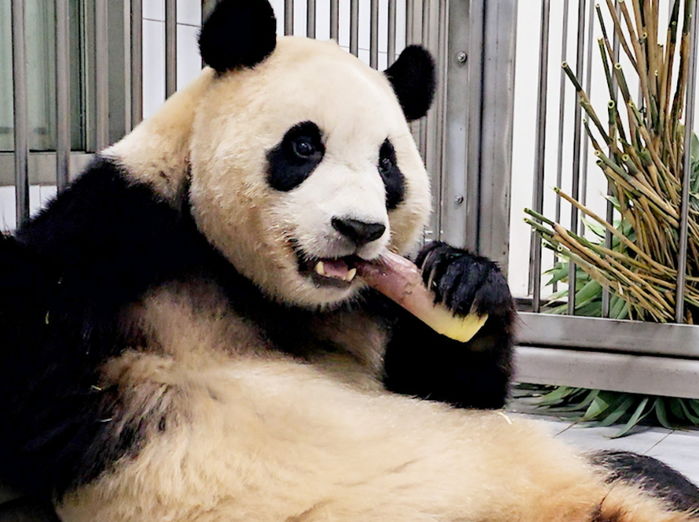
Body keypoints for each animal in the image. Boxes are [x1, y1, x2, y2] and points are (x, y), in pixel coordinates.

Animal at [0, 1, 696, 520]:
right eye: (304, 145)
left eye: (387, 163)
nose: (361, 229)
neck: (255, 284)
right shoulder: (116, 237)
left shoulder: (368, 306)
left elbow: (450, 384)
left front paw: (465, 278)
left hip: (583, 470)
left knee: (650, 475)